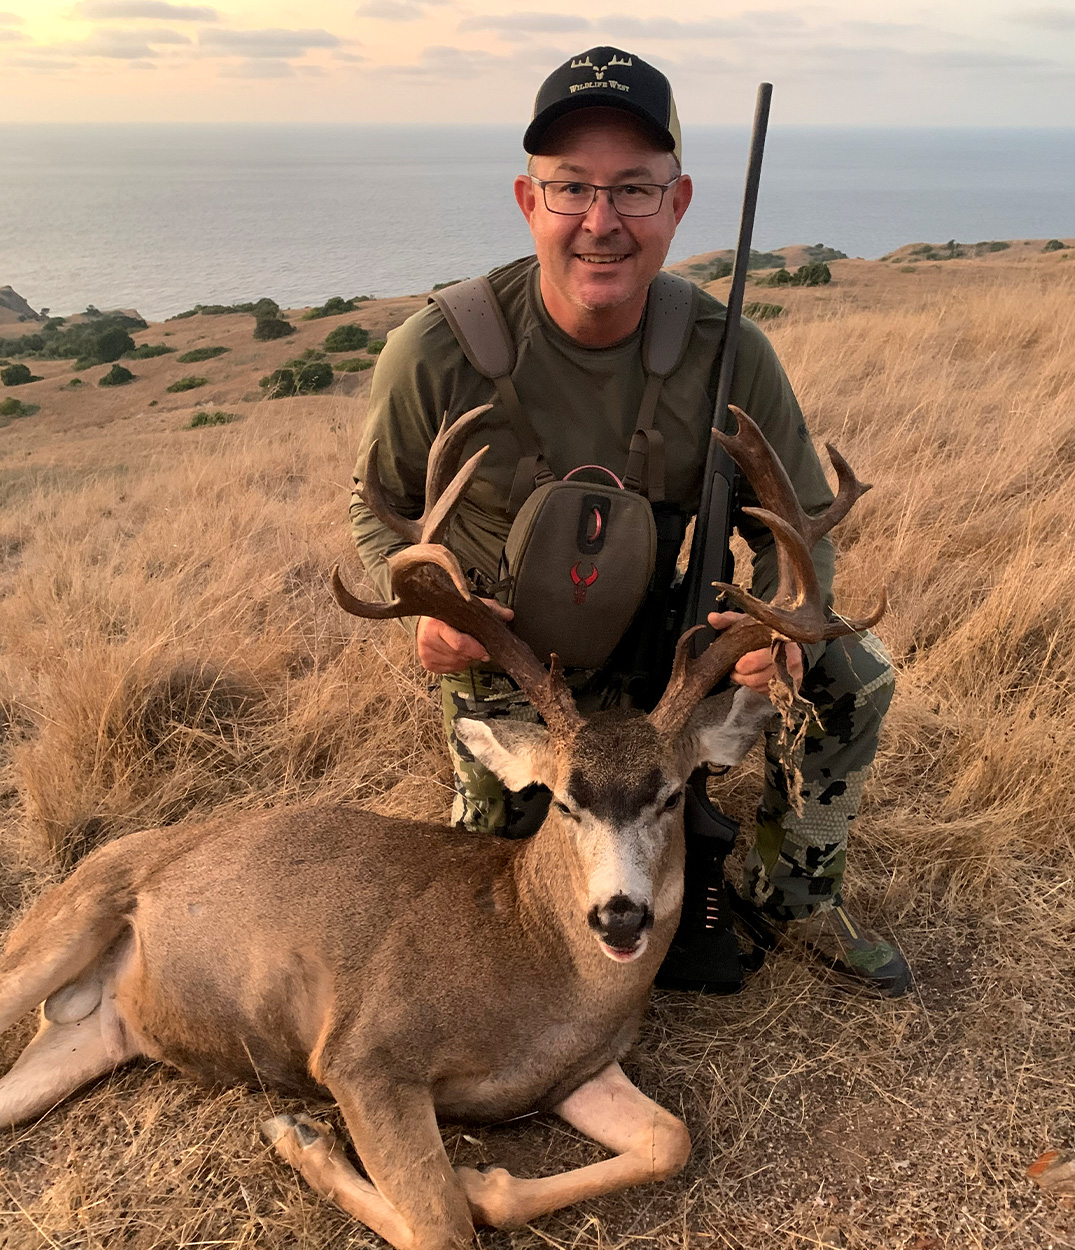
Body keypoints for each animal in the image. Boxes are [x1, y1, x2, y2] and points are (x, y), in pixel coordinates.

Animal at [0, 405, 882, 1250]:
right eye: (563, 801)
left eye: (669, 796)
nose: (619, 916)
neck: (529, 959)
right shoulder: (363, 1055)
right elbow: (442, 1226)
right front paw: (305, 1138)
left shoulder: (579, 1074)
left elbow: (670, 1139)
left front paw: (481, 1181)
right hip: (60, 928)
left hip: (91, 1038)